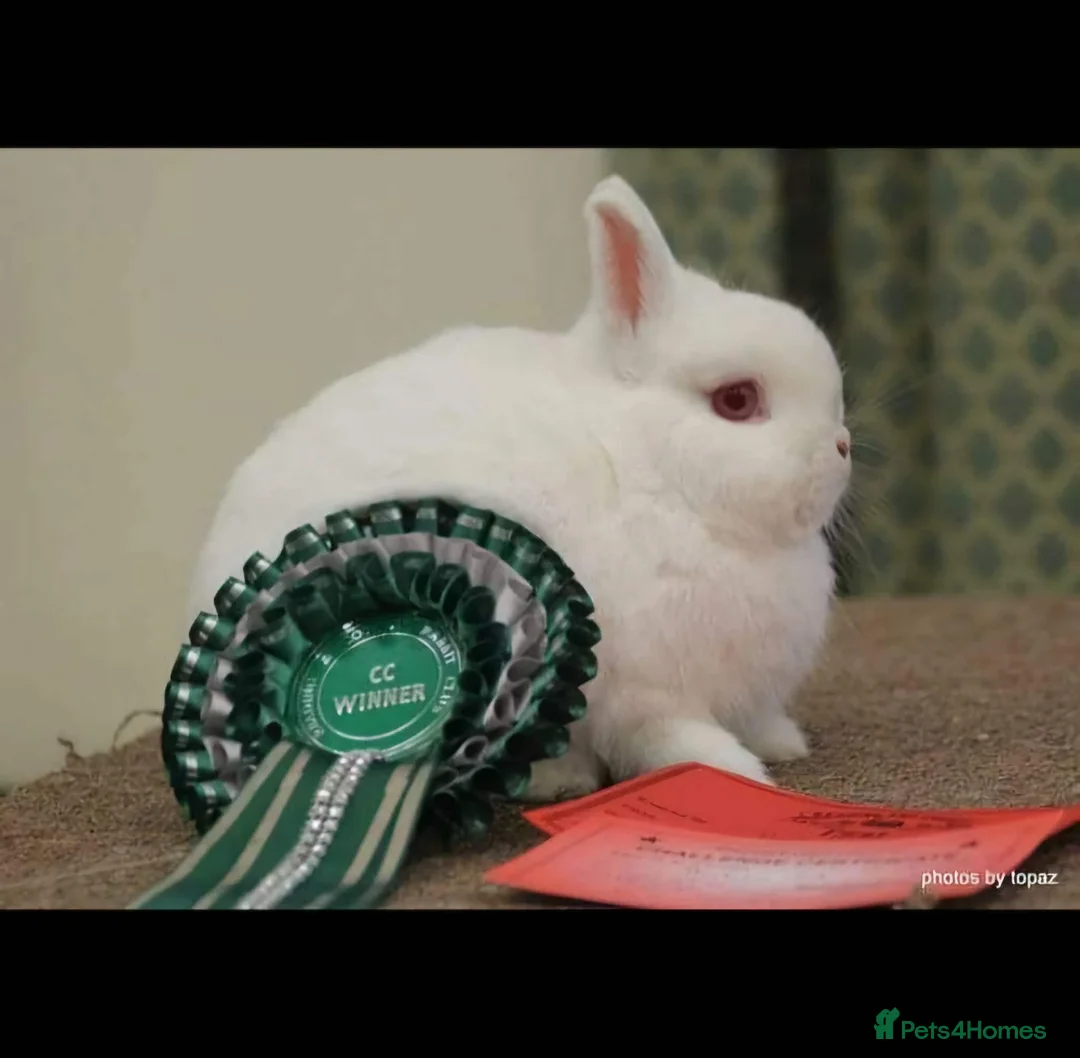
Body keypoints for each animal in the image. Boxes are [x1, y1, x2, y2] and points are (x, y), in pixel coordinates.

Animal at [188, 173, 851, 803]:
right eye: (736, 400)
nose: (842, 448)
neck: (643, 473)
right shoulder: (645, 691)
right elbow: (670, 736)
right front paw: (738, 770)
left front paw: (782, 742)